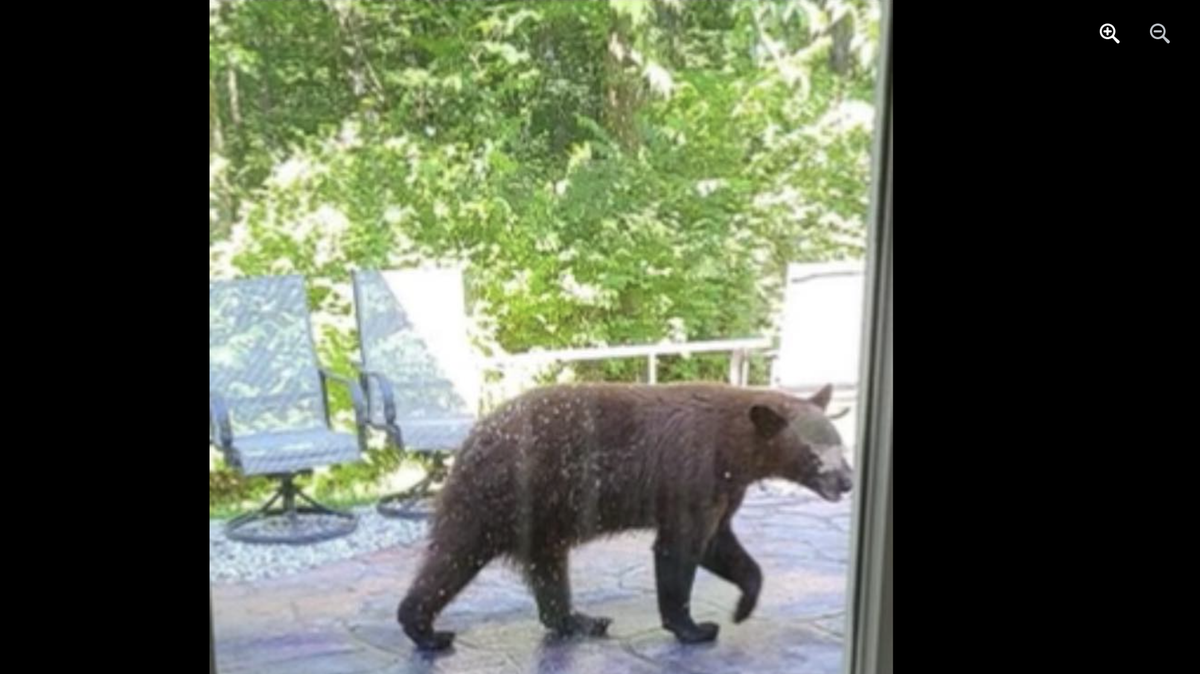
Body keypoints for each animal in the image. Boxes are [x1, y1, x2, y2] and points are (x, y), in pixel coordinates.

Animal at [397, 382, 853, 651]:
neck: (731, 446)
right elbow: (679, 547)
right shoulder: (692, 474)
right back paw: (425, 629)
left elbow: (719, 544)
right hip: (499, 496)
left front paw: (742, 605)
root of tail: (468, 441)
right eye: (816, 454)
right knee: (454, 556)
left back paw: (578, 619)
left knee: (548, 567)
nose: (847, 481)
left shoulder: (724, 489)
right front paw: (695, 627)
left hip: (542, 515)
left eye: (841, 444)